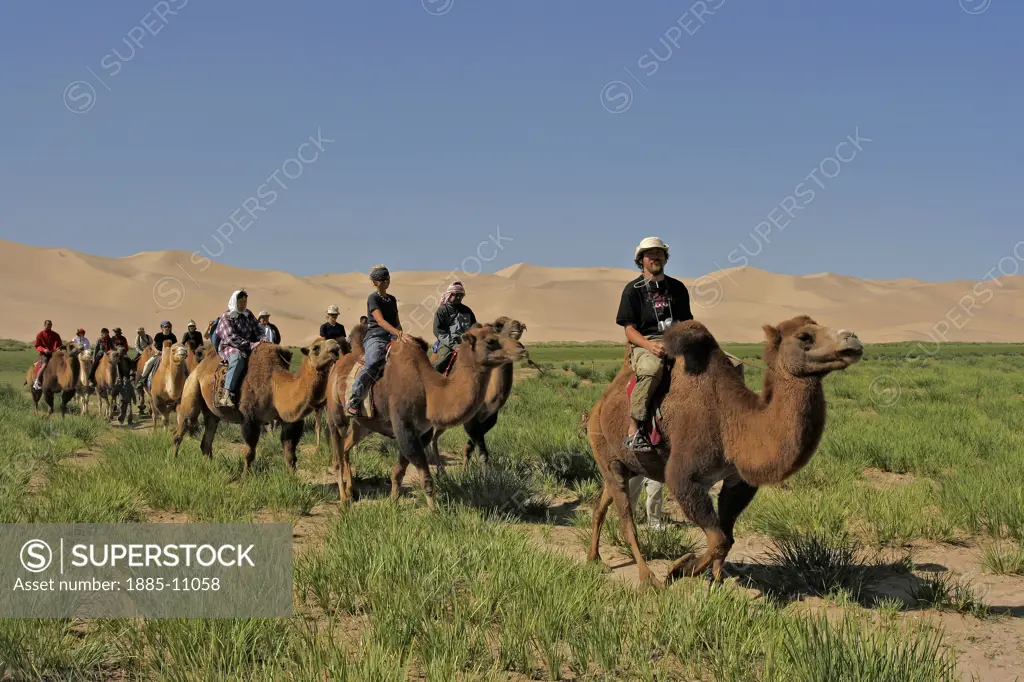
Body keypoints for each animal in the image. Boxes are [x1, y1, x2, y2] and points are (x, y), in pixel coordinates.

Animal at [169, 337, 342, 473]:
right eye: (316, 348)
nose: (336, 347)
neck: (276, 386)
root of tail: (200, 366)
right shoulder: (250, 418)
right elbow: (249, 453)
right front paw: (245, 479)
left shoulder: (290, 420)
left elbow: (290, 455)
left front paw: (293, 481)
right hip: (192, 387)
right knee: (182, 427)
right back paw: (174, 461)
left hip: (211, 411)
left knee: (207, 438)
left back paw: (210, 467)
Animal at [430, 315, 532, 464]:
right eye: (498, 325)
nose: (517, 325)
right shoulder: (470, 418)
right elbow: (481, 451)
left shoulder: (490, 418)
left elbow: (471, 447)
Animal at [585, 313, 864, 585]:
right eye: (804, 336)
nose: (853, 339)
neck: (731, 425)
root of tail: (598, 405)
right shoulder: (685, 478)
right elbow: (718, 540)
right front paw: (679, 569)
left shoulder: (737, 481)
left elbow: (727, 537)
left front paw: (718, 582)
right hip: (606, 455)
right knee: (626, 521)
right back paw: (648, 578)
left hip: (629, 467)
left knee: (601, 505)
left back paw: (593, 558)